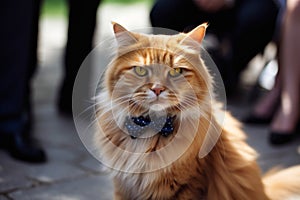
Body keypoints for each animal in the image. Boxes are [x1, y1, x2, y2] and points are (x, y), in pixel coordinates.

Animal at [94, 22, 300, 199]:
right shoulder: (123, 186)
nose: (158, 89)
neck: (151, 130)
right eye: (141, 71)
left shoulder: (188, 185)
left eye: (175, 72)